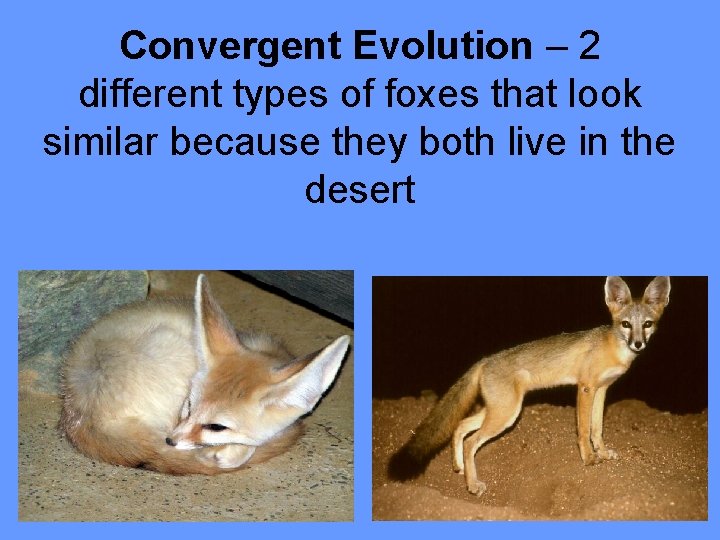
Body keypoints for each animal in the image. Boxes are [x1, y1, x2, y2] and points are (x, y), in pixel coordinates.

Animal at [388, 276, 671, 496]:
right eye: (626, 324)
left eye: (647, 324)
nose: (638, 344)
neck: (614, 349)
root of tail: (485, 359)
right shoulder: (586, 388)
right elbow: (583, 430)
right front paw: (589, 458)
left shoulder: (602, 390)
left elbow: (597, 429)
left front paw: (602, 452)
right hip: (506, 414)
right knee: (471, 442)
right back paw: (473, 485)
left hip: (500, 411)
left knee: (460, 427)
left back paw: (459, 468)